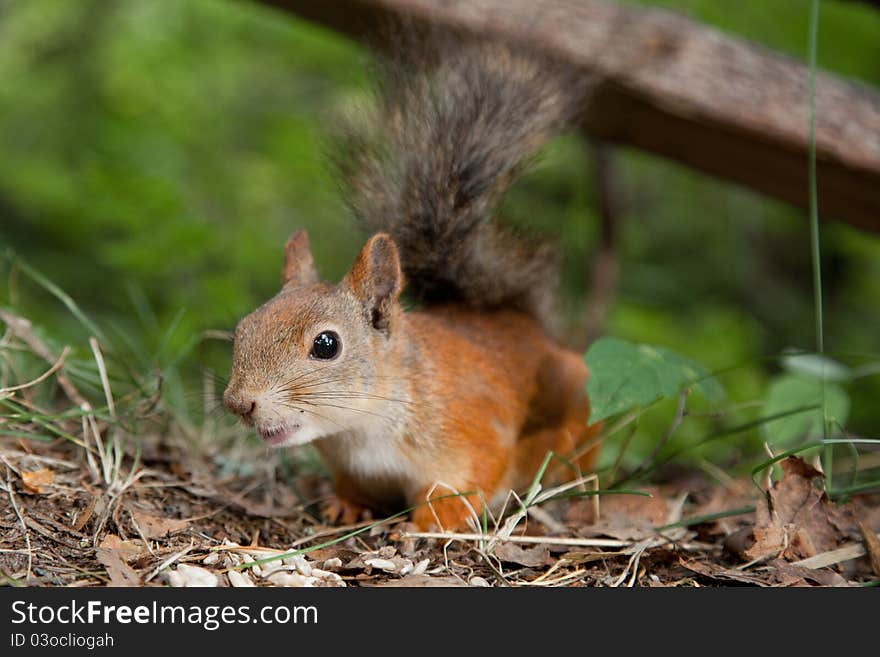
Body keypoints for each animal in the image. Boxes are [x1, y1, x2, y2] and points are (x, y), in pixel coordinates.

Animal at [223, 34, 600, 528]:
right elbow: (354, 487)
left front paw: (430, 524)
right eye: (243, 328)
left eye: (326, 345)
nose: (238, 403)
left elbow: (466, 483)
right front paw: (344, 505)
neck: (361, 429)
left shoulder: (472, 434)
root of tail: (527, 324)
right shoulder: (350, 465)